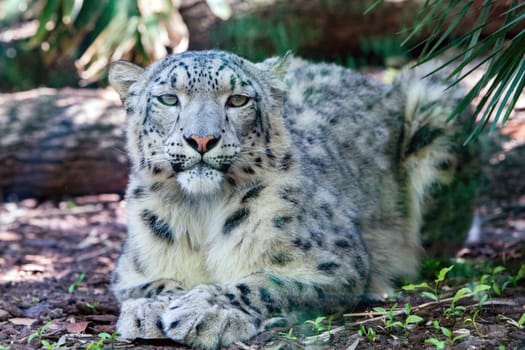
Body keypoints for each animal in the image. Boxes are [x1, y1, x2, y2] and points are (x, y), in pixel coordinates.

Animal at [108, 50, 468, 348]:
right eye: (169, 99)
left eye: (238, 100)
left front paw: (207, 310)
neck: (202, 211)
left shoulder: (335, 263)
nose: (201, 139)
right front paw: (148, 308)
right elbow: (146, 284)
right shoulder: (130, 269)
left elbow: (267, 283)